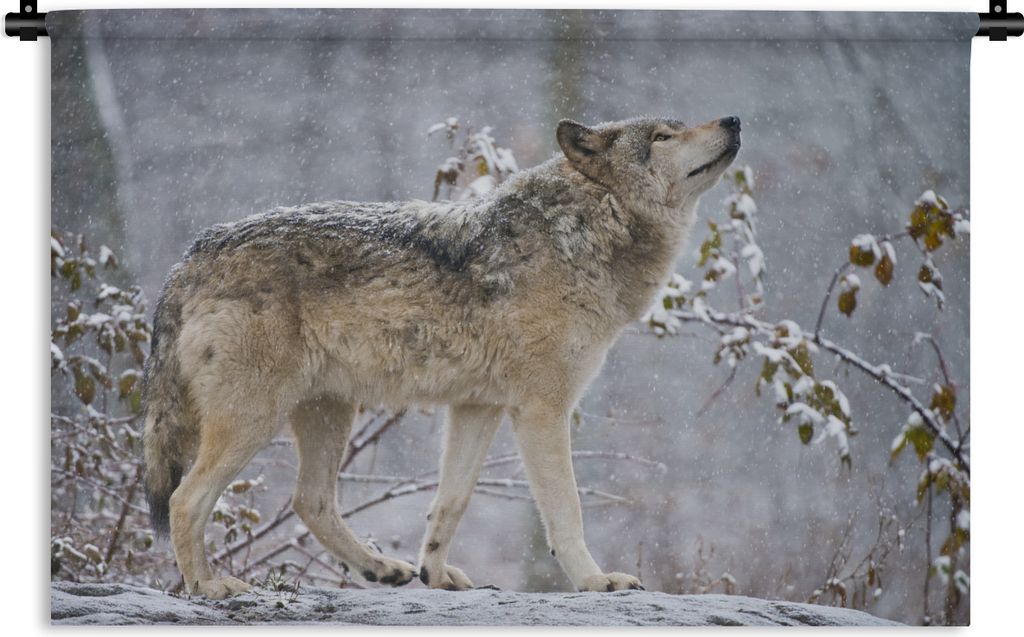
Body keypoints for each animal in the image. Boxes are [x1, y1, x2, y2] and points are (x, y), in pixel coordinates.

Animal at [142, 115, 741, 598]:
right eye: (662, 137)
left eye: (678, 126)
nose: (733, 119)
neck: (586, 230)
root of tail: (189, 258)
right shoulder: (541, 410)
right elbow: (565, 511)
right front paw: (596, 581)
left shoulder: (477, 407)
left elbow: (451, 503)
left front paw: (435, 574)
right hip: (254, 418)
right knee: (186, 500)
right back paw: (208, 587)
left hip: (328, 411)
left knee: (308, 501)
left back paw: (381, 568)